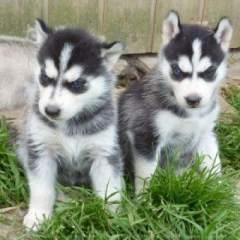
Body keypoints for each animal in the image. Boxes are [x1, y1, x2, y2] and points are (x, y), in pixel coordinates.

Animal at [17, 19, 124, 230]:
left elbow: (109, 189)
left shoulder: (104, 153)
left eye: (77, 84)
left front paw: (111, 216)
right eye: (45, 77)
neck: (71, 125)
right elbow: (42, 189)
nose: (50, 111)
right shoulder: (41, 151)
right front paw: (38, 216)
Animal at [118, 10, 232, 193]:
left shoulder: (206, 133)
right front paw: (143, 199)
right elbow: (146, 177)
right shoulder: (146, 136)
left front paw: (220, 191)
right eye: (177, 69)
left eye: (210, 71)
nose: (193, 99)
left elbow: (214, 165)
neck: (191, 114)